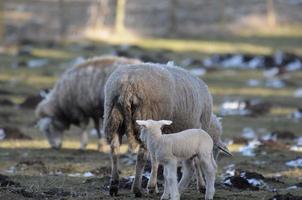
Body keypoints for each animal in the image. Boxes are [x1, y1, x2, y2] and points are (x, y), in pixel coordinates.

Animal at [102, 63, 230, 197]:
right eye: (215, 151)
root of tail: (128, 84)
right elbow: (196, 162)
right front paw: (202, 186)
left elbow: (158, 161)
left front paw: (153, 187)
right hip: (145, 116)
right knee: (141, 156)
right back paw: (137, 189)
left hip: (113, 117)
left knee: (114, 150)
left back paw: (114, 185)